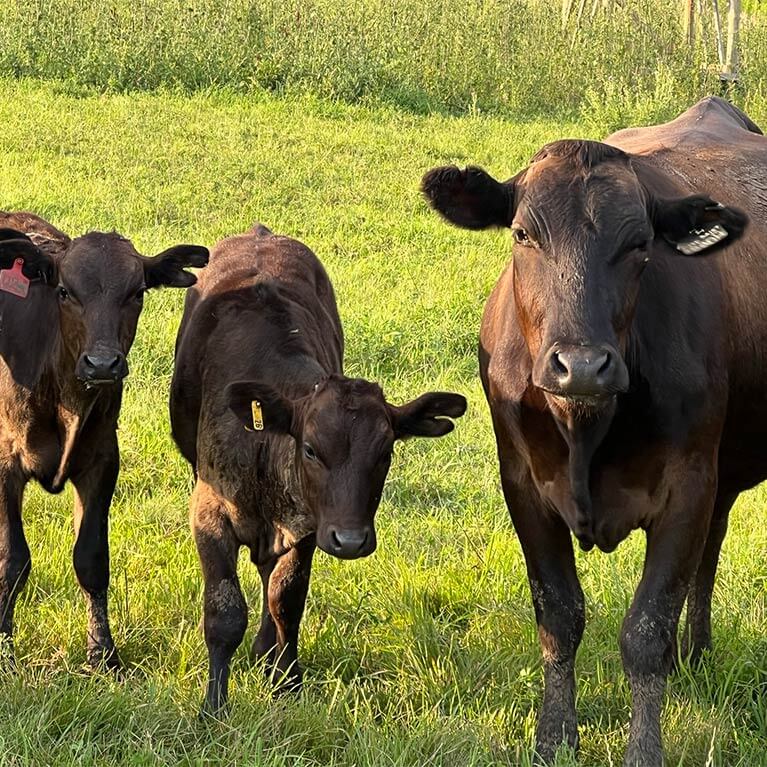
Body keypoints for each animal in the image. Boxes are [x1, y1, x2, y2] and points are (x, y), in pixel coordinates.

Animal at [0, 212, 208, 670]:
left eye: (137, 292)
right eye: (64, 291)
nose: (102, 363)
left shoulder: (101, 460)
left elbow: (91, 558)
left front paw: (102, 651)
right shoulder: (4, 462)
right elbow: (12, 559)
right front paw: (3, 645)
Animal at [169, 224, 467, 713]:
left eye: (385, 452)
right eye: (310, 449)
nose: (350, 539)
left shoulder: (309, 524)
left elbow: (286, 599)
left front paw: (287, 680)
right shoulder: (210, 514)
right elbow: (225, 610)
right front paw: (214, 705)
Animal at [421, 96, 765, 766]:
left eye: (639, 244)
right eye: (522, 235)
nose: (581, 365)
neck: (585, 428)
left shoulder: (689, 483)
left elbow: (646, 630)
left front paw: (644, 750)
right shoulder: (523, 485)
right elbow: (559, 614)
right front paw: (554, 738)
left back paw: (696, 652)